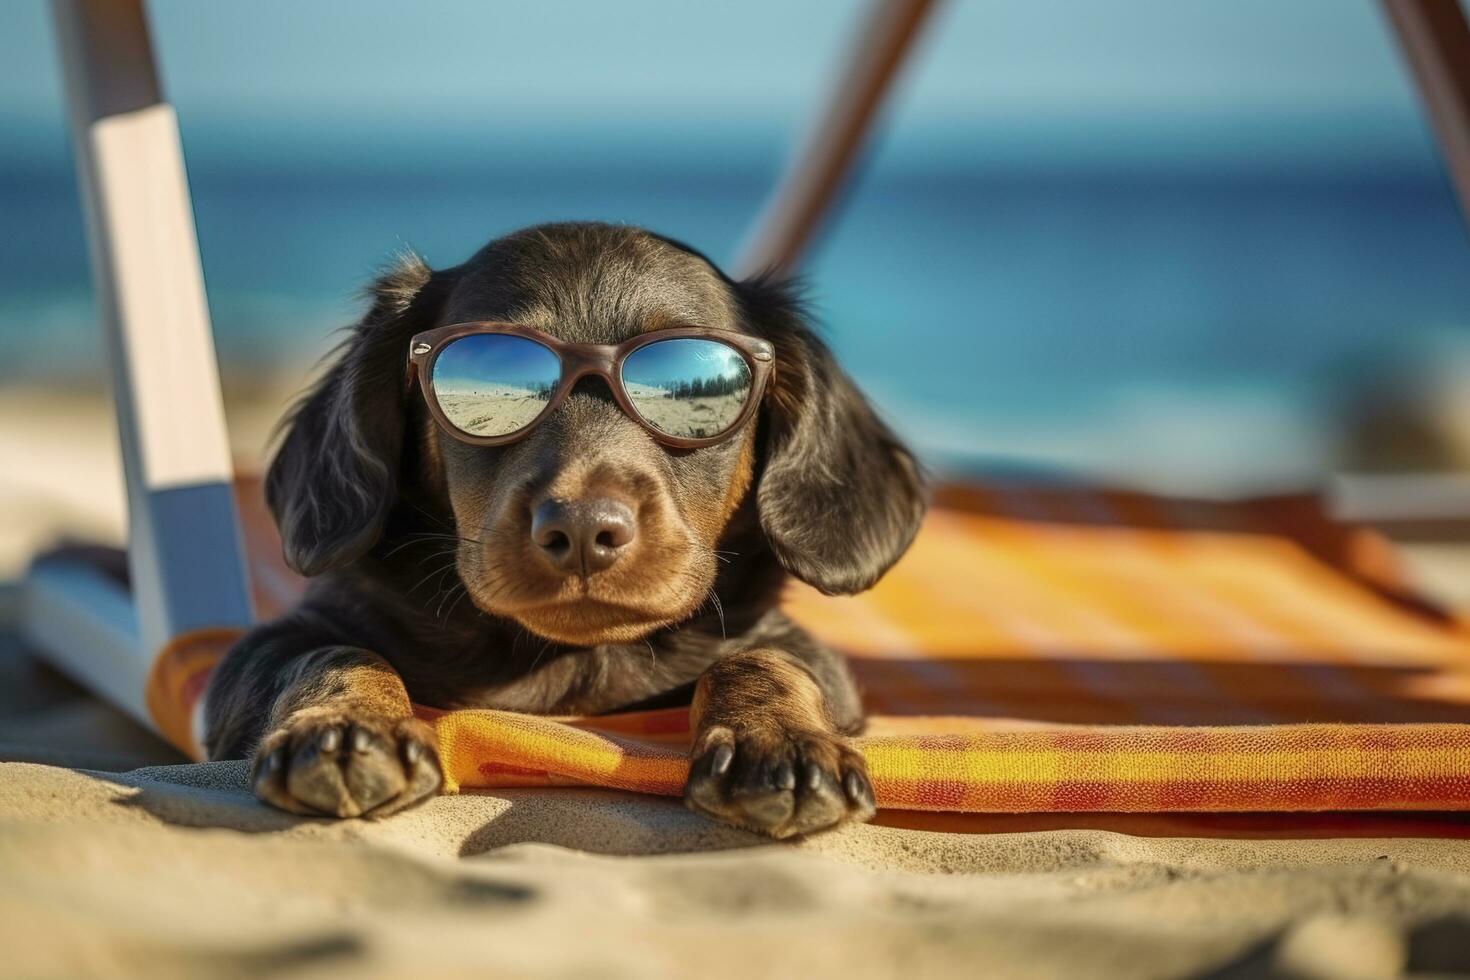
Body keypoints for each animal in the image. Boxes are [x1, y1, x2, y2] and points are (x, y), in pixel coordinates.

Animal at [202, 226, 923, 840]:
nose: (580, 529)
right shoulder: (268, 648)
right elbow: (333, 653)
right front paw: (347, 730)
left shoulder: (801, 649)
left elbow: (763, 661)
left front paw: (781, 746)